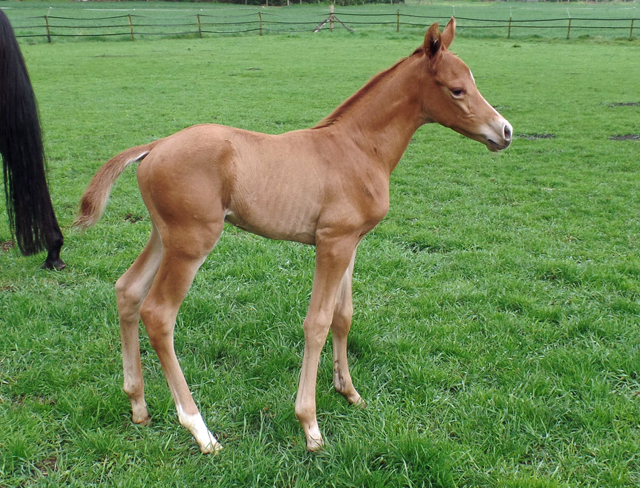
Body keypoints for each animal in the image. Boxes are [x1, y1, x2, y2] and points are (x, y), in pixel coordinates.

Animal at [75, 19, 512, 454]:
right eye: (457, 89)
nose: (505, 131)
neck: (358, 148)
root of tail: (154, 147)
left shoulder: (351, 242)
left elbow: (343, 316)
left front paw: (348, 392)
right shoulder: (332, 244)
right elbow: (316, 323)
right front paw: (310, 425)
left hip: (164, 236)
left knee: (127, 290)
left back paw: (138, 405)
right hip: (191, 242)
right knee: (159, 313)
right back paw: (200, 430)